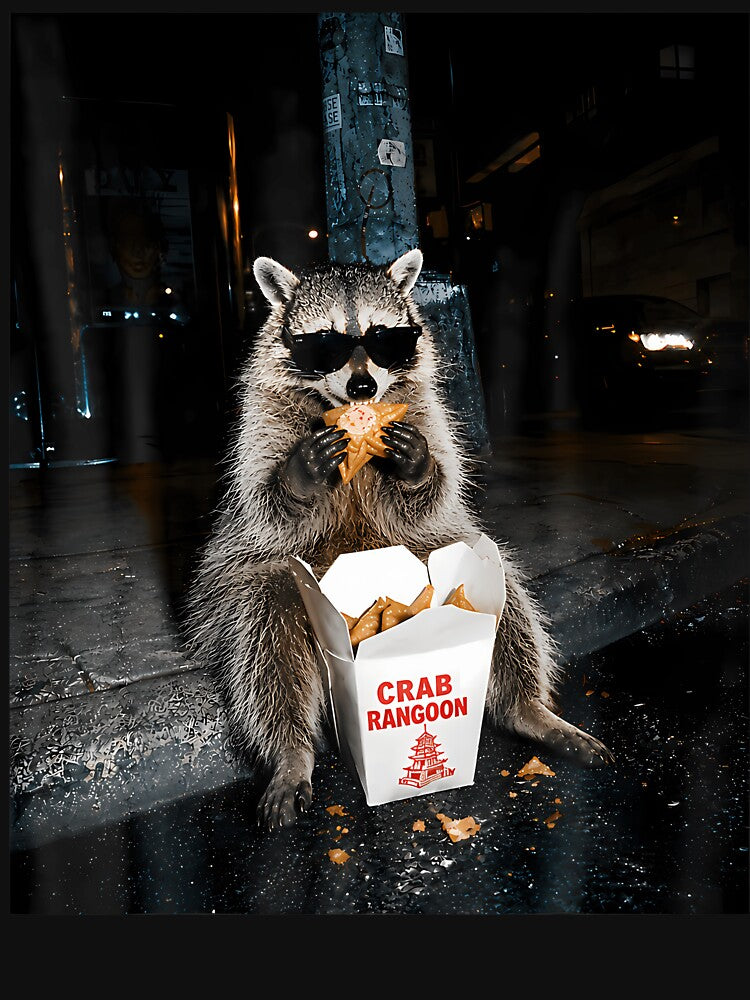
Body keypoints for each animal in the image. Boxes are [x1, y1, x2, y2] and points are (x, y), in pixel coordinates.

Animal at [184, 248, 613, 830]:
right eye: (324, 342)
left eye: (385, 336)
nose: (363, 388)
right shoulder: (261, 420)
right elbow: (264, 504)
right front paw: (298, 477)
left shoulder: (427, 410)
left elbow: (434, 489)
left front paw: (415, 469)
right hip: (247, 589)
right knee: (264, 627)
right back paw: (291, 750)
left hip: (442, 551)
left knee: (508, 609)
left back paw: (529, 708)